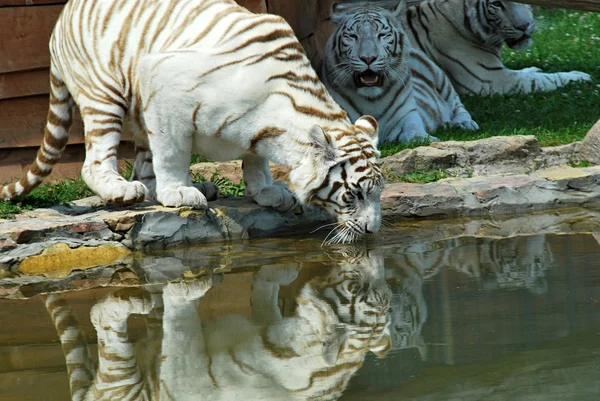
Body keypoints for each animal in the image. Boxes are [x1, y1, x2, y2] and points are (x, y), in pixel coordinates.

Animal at [322, 0, 480, 144]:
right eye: (353, 36)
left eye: (382, 35)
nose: (368, 58)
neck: (372, 99)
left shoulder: (408, 115)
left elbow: (414, 130)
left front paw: (426, 139)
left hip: (441, 80)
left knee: (457, 104)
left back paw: (464, 123)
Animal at [404, 0, 592, 94]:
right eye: (496, 4)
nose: (524, 26)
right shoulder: (488, 79)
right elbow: (543, 79)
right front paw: (580, 76)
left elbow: (527, 73)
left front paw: (533, 68)